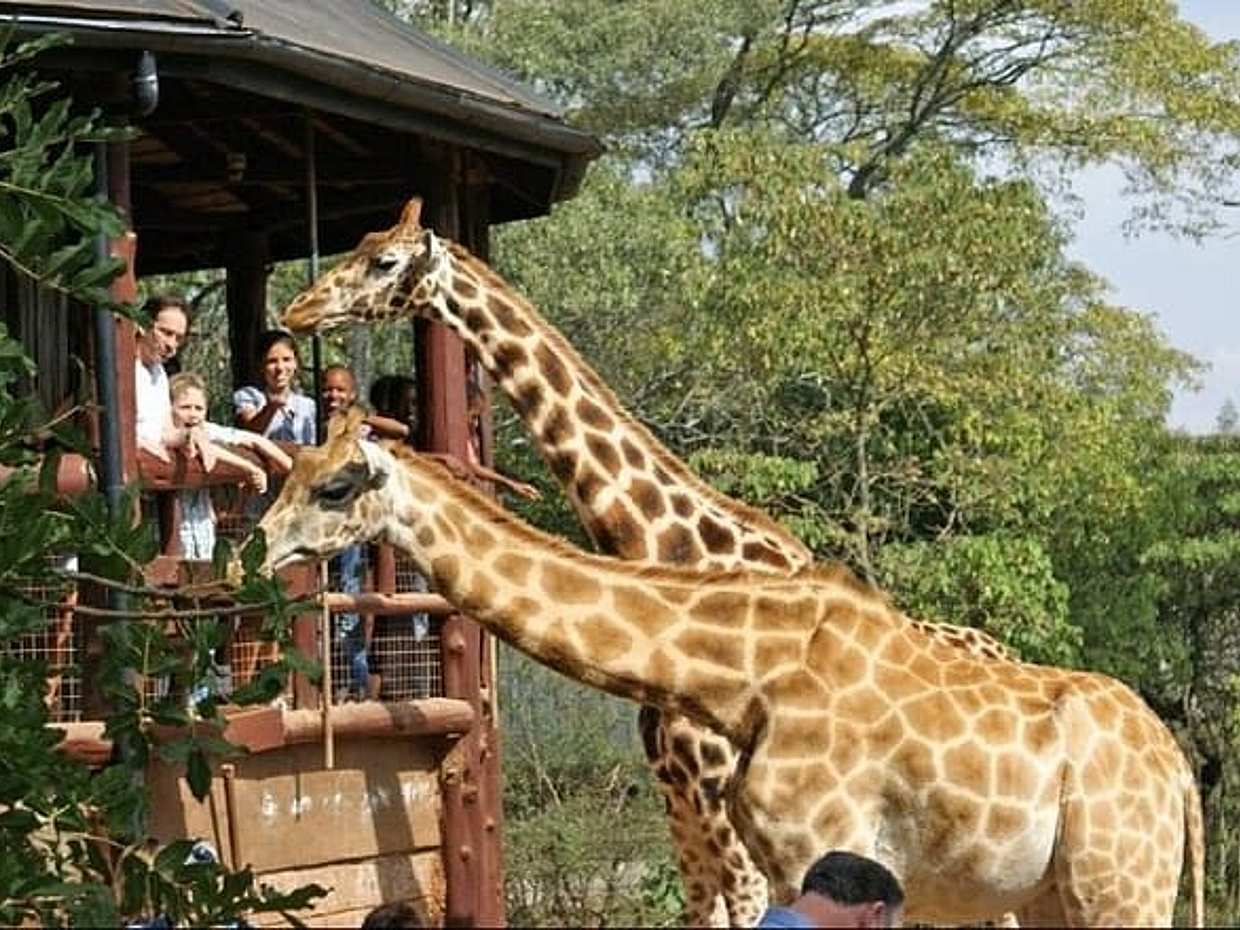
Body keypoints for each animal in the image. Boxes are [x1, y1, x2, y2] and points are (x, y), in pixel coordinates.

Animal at [245, 410, 1206, 928]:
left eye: (335, 487)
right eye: (291, 471)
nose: (255, 550)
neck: (745, 671)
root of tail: (1182, 775)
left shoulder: (828, 850)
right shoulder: (781, 862)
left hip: (1120, 882)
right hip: (1052, 890)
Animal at [280, 196, 1017, 926]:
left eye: (384, 260)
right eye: (356, 242)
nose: (298, 310)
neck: (669, 547)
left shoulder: (727, 810)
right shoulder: (678, 800)